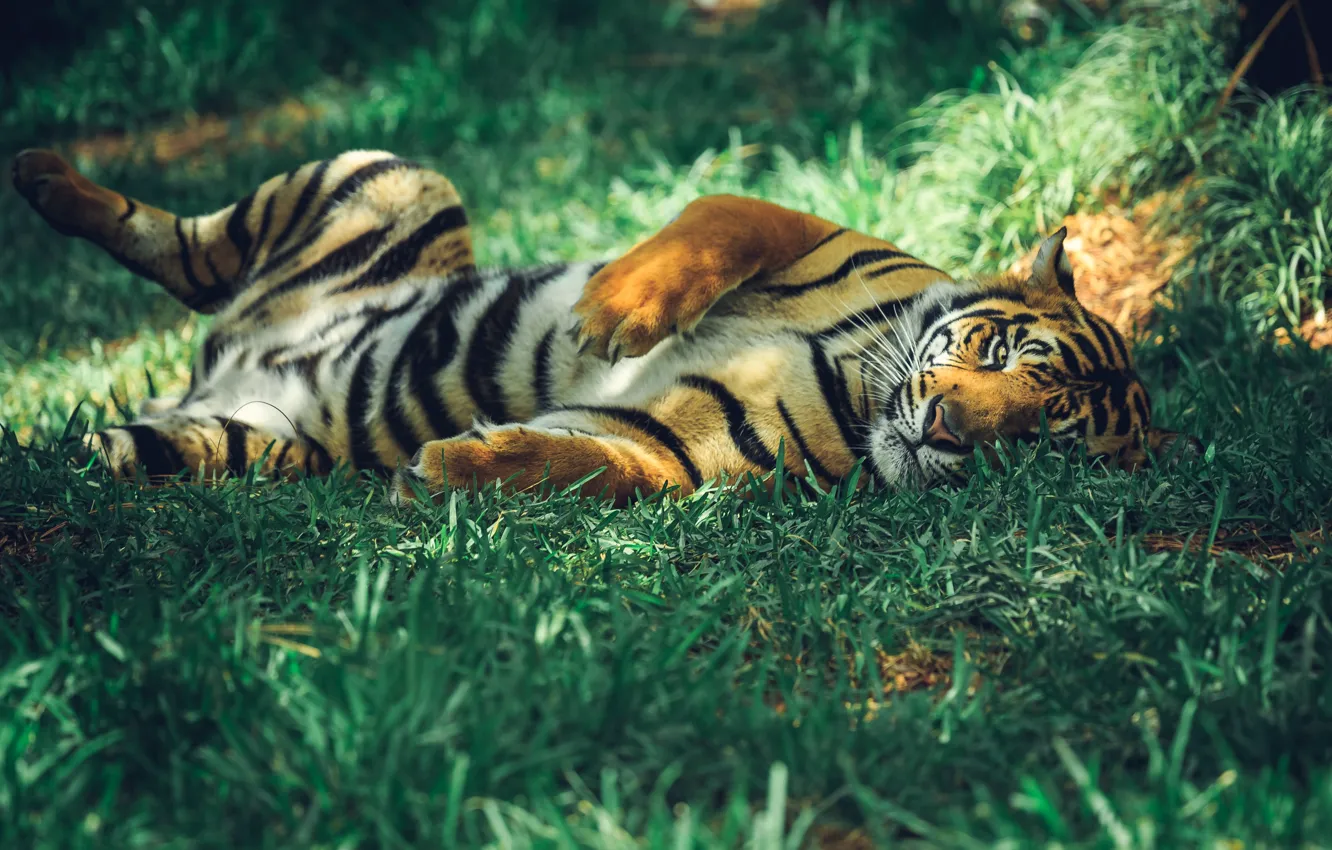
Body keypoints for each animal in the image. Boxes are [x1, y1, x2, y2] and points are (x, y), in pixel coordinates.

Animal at [10, 148, 1198, 506]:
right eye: (996, 353)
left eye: (1038, 444)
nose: (949, 429)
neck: (867, 391)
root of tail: (220, 365)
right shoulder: (805, 229)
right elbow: (717, 221)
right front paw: (615, 312)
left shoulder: (695, 445)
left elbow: (603, 460)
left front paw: (457, 464)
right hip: (386, 174)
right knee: (186, 245)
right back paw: (45, 178)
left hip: (221, 443)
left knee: (90, 448)